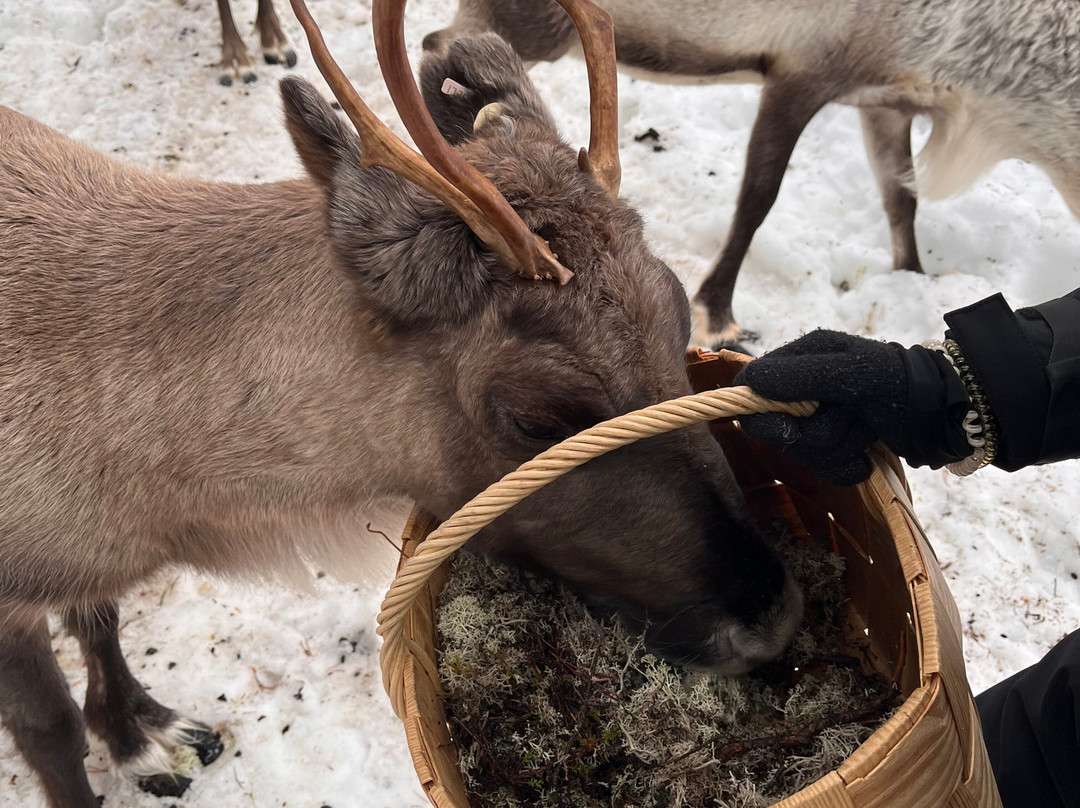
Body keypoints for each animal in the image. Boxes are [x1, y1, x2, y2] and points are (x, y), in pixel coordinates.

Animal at [0, 0, 804, 804]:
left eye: (679, 317)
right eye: (537, 416)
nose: (772, 618)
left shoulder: (82, 566)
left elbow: (100, 624)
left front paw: (142, 736)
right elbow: (50, 732)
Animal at [424, 0, 1080, 349]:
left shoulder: (883, 100)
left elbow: (900, 198)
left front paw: (913, 279)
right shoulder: (801, 72)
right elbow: (758, 199)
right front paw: (718, 316)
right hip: (535, 25)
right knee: (437, 46)